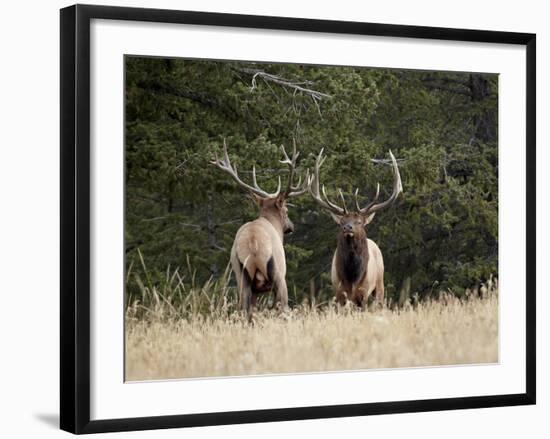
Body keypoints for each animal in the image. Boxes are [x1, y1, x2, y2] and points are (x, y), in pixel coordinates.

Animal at [212, 139, 310, 314]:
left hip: (241, 275)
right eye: (286, 210)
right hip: (278, 275)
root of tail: (253, 242)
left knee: (244, 309)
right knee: (282, 306)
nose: (291, 226)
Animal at [308, 151, 404, 310]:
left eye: (359, 222)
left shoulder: (363, 292)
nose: (348, 227)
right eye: (341, 222)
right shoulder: (339, 291)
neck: (352, 277)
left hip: (380, 283)